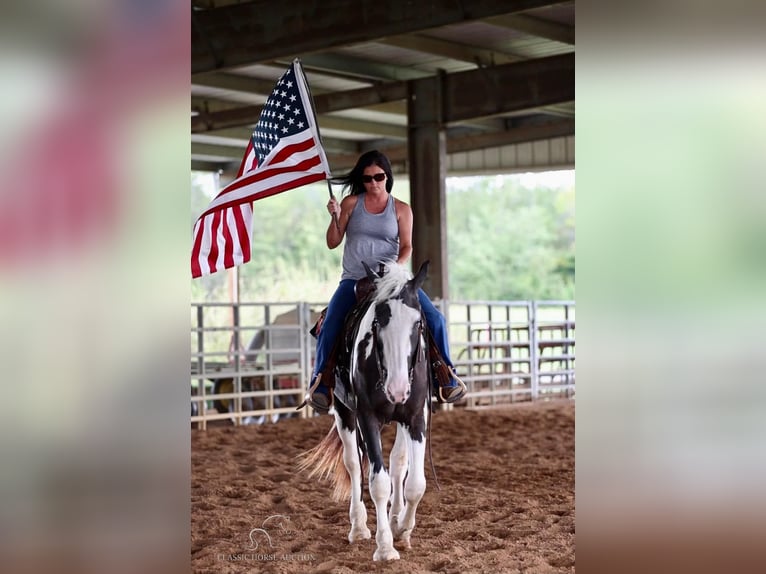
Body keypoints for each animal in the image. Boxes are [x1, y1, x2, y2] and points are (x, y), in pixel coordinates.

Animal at [300, 260, 432, 564]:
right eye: (377, 322)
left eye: (418, 323)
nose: (397, 388)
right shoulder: (367, 418)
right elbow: (378, 482)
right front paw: (385, 547)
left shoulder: (416, 417)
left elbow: (415, 483)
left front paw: (403, 530)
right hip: (344, 413)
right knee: (352, 463)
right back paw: (358, 527)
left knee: (397, 462)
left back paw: (395, 517)